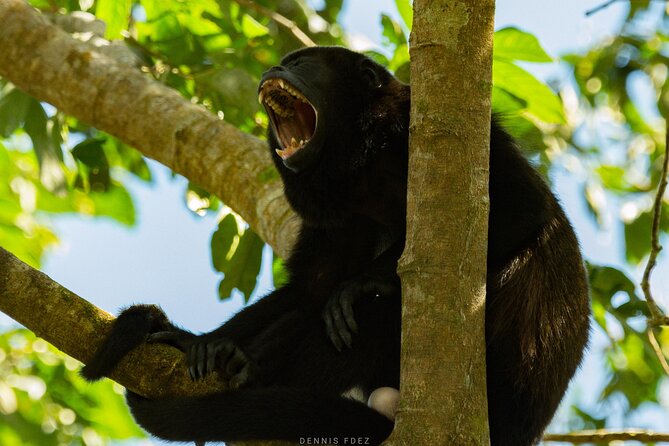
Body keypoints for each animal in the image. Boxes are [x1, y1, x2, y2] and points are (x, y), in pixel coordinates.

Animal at [81, 46, 588, 446]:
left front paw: (363, 283)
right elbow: (309, 286)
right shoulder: (338, 217)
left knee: (379, 314)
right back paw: (227, 354)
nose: (271, 69)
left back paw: (259, 367)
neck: (366, 166)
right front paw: (199, 341)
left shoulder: (437, 129)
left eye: (300, 63)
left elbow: (523, 209)